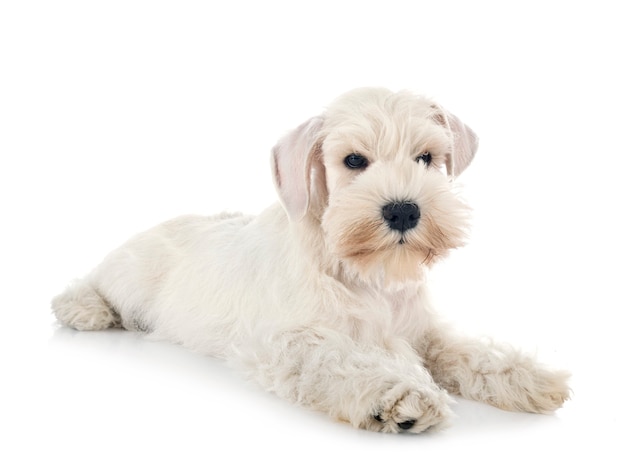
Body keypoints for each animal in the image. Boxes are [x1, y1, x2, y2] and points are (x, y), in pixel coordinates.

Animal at [52, 87, 572, 432]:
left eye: (425, 157)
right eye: (354, 161)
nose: (403, 210)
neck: (365, 275)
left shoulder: (421, 332)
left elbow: (468, 351)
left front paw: (527, 376)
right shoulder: (290, 340)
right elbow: (339, 360)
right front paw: (399, 395)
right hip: (127, 273)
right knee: (91, 284)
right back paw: (84, 308)